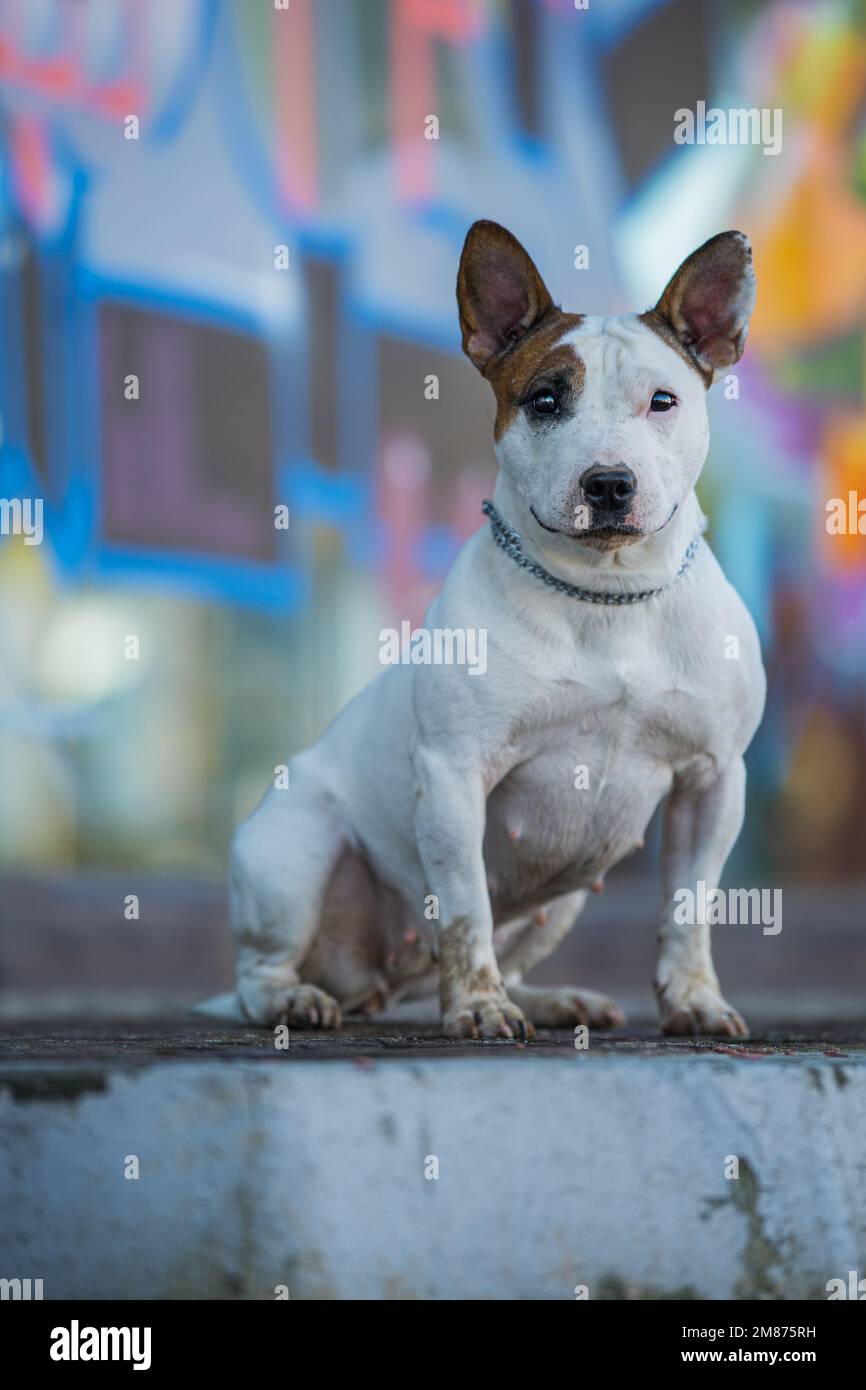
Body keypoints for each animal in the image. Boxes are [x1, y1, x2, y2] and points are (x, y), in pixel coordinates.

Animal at [222, 216, 767, 1039]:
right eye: (544, 399)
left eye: (663, 400)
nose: (609, 483)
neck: (607, 595)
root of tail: (380, 978)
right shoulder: (455, 774)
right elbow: (464, 908)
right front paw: (476, 1005)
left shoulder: (713, 781)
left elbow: (689, 907)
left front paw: (695, 999)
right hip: (295, 849)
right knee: (262, 968)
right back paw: (294, 999)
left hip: (562, 898)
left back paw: (549, 999)